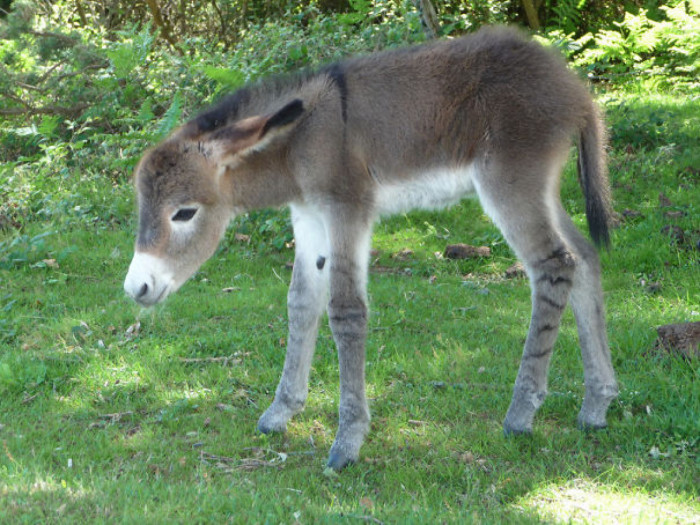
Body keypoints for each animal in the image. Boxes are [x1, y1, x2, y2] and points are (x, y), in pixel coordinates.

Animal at [124, 27, 616, 470]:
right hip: (540, 189)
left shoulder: (347, 209)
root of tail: (575, 89)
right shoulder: (308, 218)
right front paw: (281, 411)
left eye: (183, 213)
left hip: (510, 184)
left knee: (553, 265)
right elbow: (301, 304)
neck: (300, 141)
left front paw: (348, 440)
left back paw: (522, 413)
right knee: (585, 256)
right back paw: (597, 403)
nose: (136, 289)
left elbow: (345, 312)